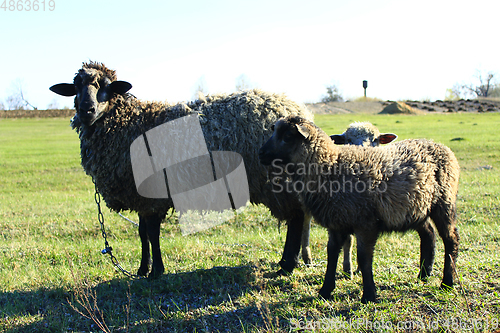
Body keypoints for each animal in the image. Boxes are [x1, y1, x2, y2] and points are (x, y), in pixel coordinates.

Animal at [51, 61, 316, 278]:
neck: (129, 123)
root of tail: (298, 110)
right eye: (75, 87)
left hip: (277, 181)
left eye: (106, 86)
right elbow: (142, 233)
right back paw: (286, 262)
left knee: (295, 219)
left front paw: (156, 271)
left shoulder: (152, 195)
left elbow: (152, 232)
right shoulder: (140, 196)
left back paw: (287, 265)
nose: (86, 110)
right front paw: (142, 269)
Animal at [260, 115, 458, 302]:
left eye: (287, 136)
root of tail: (438, 144)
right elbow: (332, 253)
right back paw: (424, 274)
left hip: (444, 202)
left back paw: (447, 282)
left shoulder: (366, 222)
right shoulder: (336, 221)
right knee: (428, 234)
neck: (331, 167)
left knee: (451, 239)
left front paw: (369, 295)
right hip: (416, 209)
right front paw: (325, 290)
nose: (261, 154)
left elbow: (364, 257)